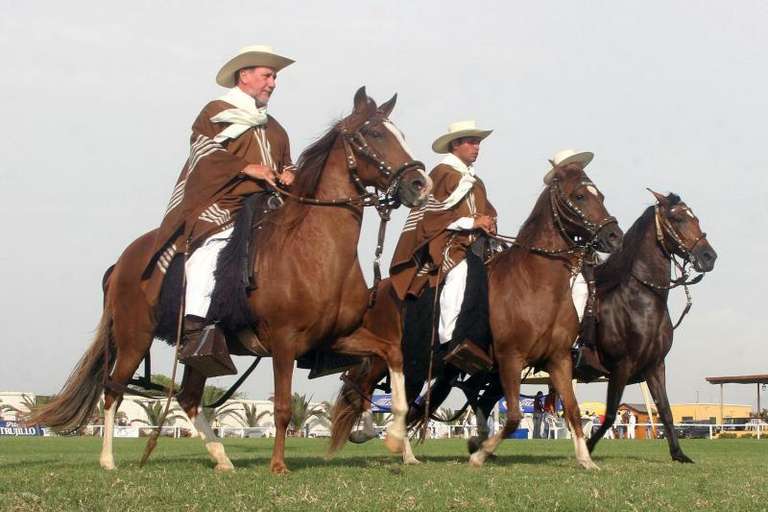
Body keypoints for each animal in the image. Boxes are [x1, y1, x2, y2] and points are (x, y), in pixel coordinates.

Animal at [28, 87, 433, 474]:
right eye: (375, 133)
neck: (313, 251)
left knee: (188, 398)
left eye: (400, 134)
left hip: (199, 354)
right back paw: (108, 460)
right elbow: (283, 407)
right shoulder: (284, 342)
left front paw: (396, 438)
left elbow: (392, 355)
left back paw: (222, 458)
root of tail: (123, 261)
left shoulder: (336, 338)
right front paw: (278, 465)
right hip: (133, 339)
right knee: (113, 392)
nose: (419, 183)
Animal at [329, 163, 623, 469]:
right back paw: (373, 435)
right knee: (362, 388)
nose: (614, 236)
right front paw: (479, 453)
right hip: (390, 358)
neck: (535, 284)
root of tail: (377, 291)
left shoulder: (558, 359)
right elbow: (514, 416)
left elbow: (573, 410)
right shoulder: (510, 358)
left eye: (600, 195)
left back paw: (401, 449)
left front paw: (586, 460)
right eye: (579, 196)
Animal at [585, 190, 717, 462]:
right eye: (677, 218)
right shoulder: (621, 366)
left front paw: (679, 454)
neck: (640, 301)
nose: (709, 257)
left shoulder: (655, 366)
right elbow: (611, 414)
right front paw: (588, 447)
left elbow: (665, 410)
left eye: (695, 217)